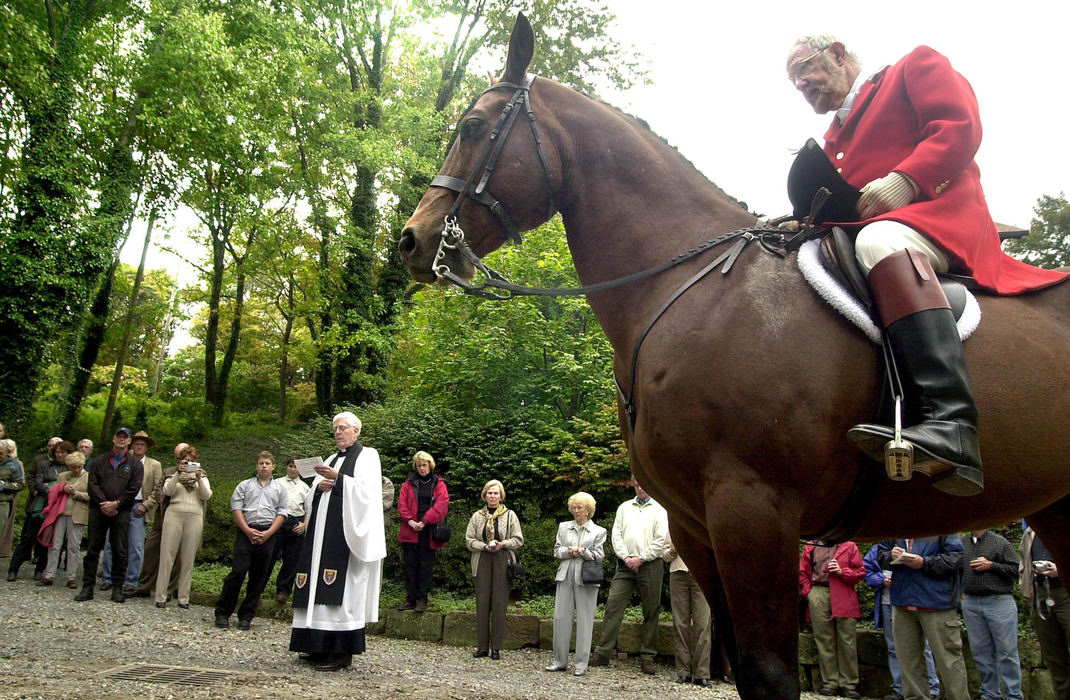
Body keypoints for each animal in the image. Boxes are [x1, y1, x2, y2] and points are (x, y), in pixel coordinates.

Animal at [398, 13, 1070, 697]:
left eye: (471, 127)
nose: (411, 240)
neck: (687, 284)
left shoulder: (754, 508)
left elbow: (771, 671)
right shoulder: (695, 525)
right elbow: (746, 668)